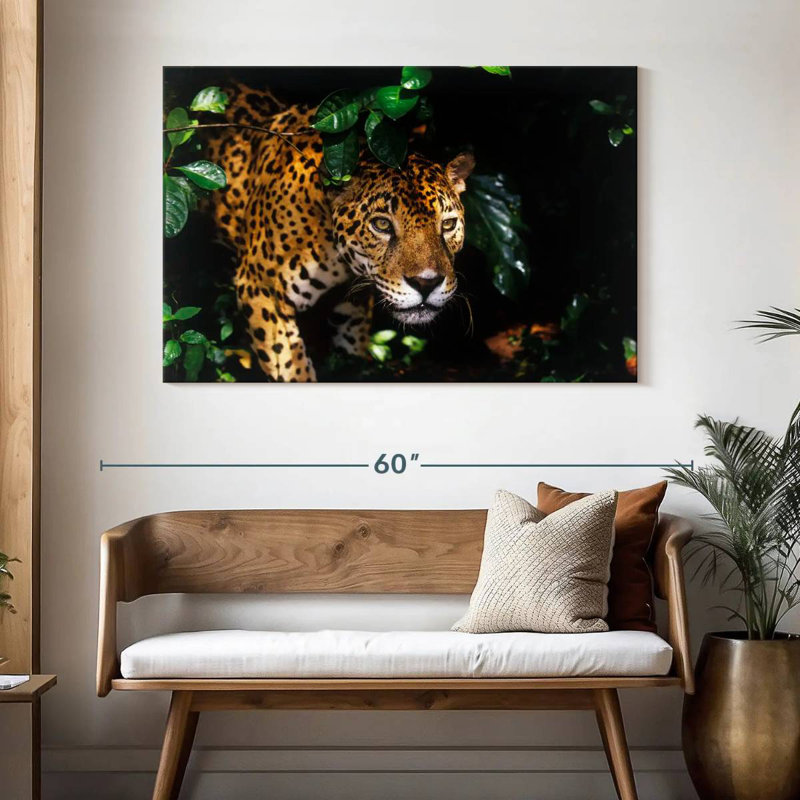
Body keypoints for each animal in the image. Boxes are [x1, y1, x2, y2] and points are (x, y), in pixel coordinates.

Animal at [202, 82, 475, 382]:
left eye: (447, 225)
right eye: (382, 225)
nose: (427, 283)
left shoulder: (353, 305)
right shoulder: (260, 289)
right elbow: (292, 367)